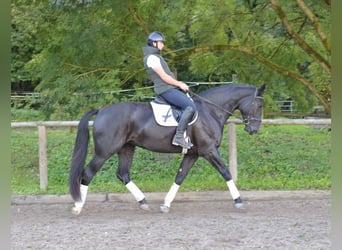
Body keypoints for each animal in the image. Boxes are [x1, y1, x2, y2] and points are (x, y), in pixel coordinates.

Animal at [69, 83, 266, 214]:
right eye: (259, 105)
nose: (254, 129)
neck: (210, 111)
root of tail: (102, 110)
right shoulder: (209, 150)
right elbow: (226, 172)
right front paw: (238, 201)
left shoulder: (193, 154)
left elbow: (180, 176)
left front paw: (166, 204)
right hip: (104, 152)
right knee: (87, 174)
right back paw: (78, 206)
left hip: (126, 148)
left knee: (123, 174)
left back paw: (143, 202)